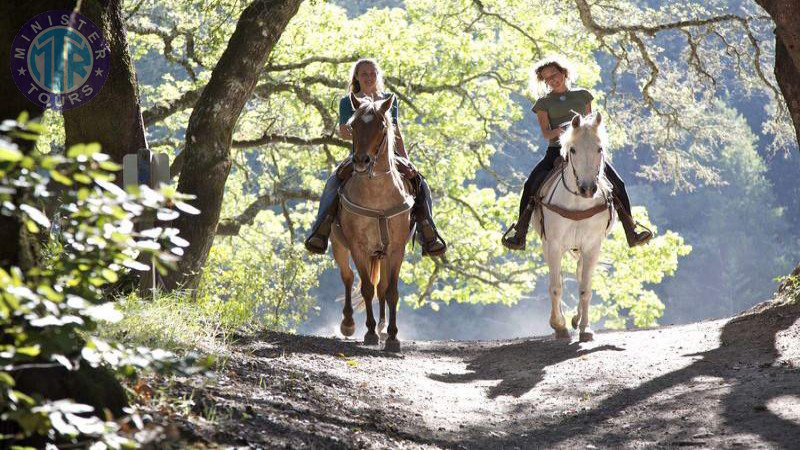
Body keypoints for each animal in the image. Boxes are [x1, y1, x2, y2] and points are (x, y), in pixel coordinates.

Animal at [330, 92, 412, 352]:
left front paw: (393, 337)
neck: (378, 198)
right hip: (339, 245)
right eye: (352, 125)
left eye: (382, 126)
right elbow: (366, 288)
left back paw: (384, 328)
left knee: (382, 287)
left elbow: (391, 292)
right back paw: (348, 323)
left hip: (381, 254)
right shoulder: (358, 247)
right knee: (348, 277)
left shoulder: (396, 249)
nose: (361, 161)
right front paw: (369, 333)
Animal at [532, 112, 620, 342]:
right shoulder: (553, 245)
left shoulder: (592, 246)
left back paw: (577, 319)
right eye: (572, 150)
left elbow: (585, 288)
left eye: (599, 148)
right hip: (549, 246)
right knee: (559, 279)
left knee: (580, 275)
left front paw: (585, 328)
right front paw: (559, 326)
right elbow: (556, 287)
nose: (587, 189)